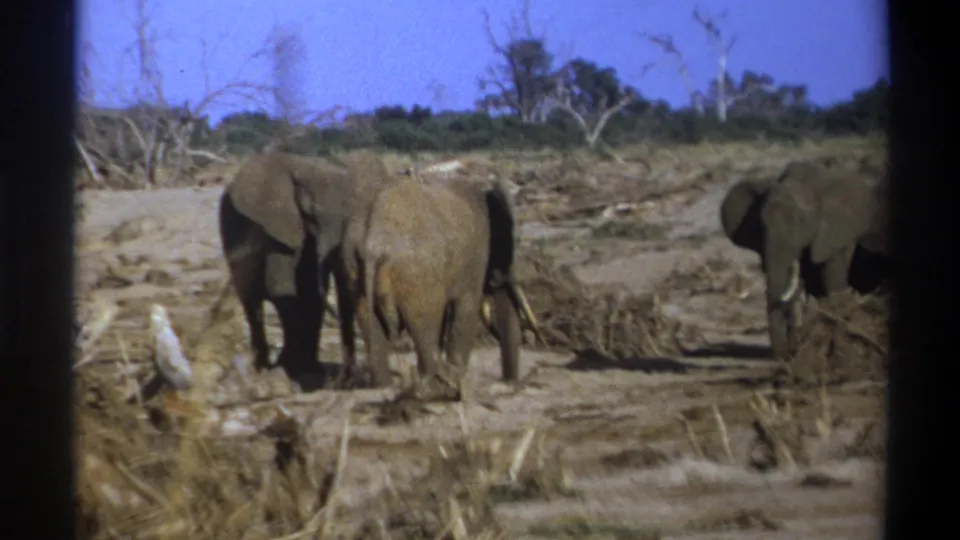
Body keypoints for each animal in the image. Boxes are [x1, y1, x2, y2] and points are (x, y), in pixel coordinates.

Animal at [217, 150, 397, 386]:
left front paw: (307, 370)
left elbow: (310, 292)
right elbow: (283, 288)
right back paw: (262, 368)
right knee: (251, 302)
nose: (348, 377)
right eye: (311, 214)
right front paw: (291, 368)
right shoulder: (278, 229)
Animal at [341, 176, 539, 389]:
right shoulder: (476, 255)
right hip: (416, 272)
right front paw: (457, 375)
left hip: (353, 264)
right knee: (426, 322)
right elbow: (466, 306)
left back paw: (386, 386)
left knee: (371, 323)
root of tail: (373, 238)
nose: (510, 382)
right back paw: (438, 380)